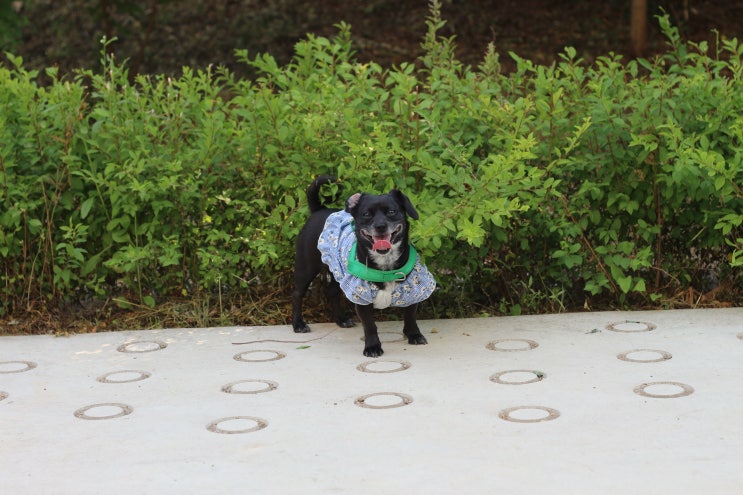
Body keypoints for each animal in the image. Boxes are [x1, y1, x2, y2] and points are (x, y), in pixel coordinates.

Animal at [292, 174, 436, 356]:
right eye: (366, 214)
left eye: (391, 211)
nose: (380, 226)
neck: (385, 262)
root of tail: (319, 209)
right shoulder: (361, 297)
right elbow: (370, 326)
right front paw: (373, 346)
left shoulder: (414, 290)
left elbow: (410, 316)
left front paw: (414, 335)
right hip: (306, 268)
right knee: (297, 294)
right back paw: (298, 324)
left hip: (338, 271)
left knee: (331, 291)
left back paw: (341, 319)